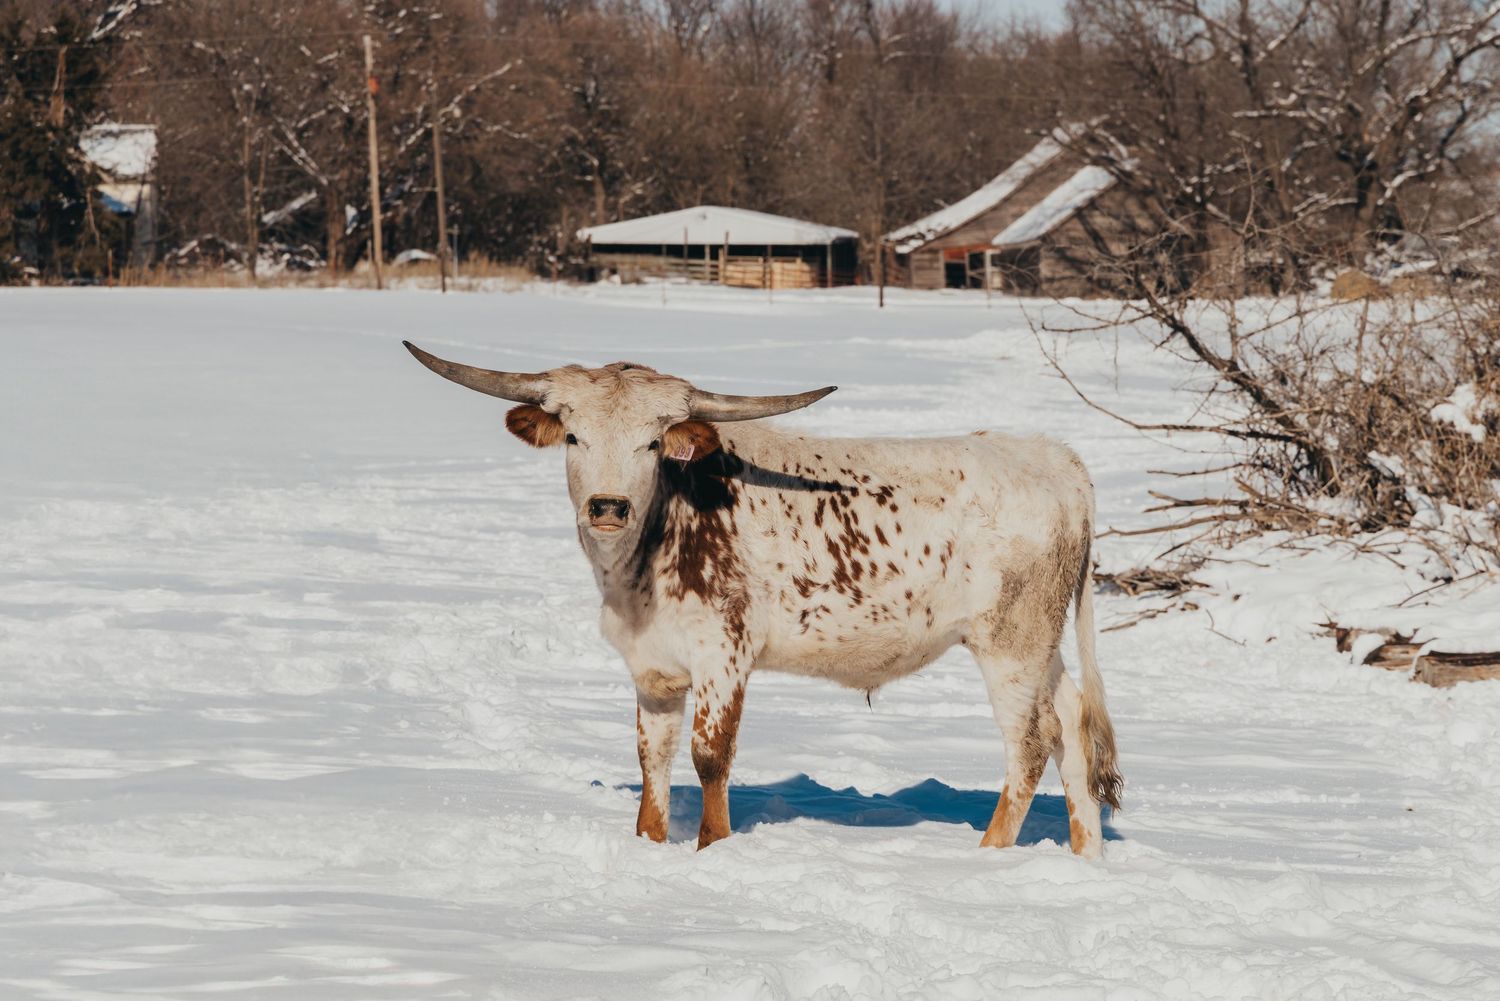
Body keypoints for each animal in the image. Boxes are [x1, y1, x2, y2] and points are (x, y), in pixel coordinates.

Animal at [404, 342, 1122, 857]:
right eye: (575, 437)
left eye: (650, 442)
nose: (608, 506)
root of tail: (1053, 456)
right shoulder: (652, 668)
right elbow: (653, 757)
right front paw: (648, 844)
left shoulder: (724, 653)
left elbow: (709, 755)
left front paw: (714, 848)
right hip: (1040, 644)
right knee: (1071, 726)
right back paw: (1084, 856)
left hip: (1010, 643)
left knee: (1029, 743)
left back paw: (986, 856)